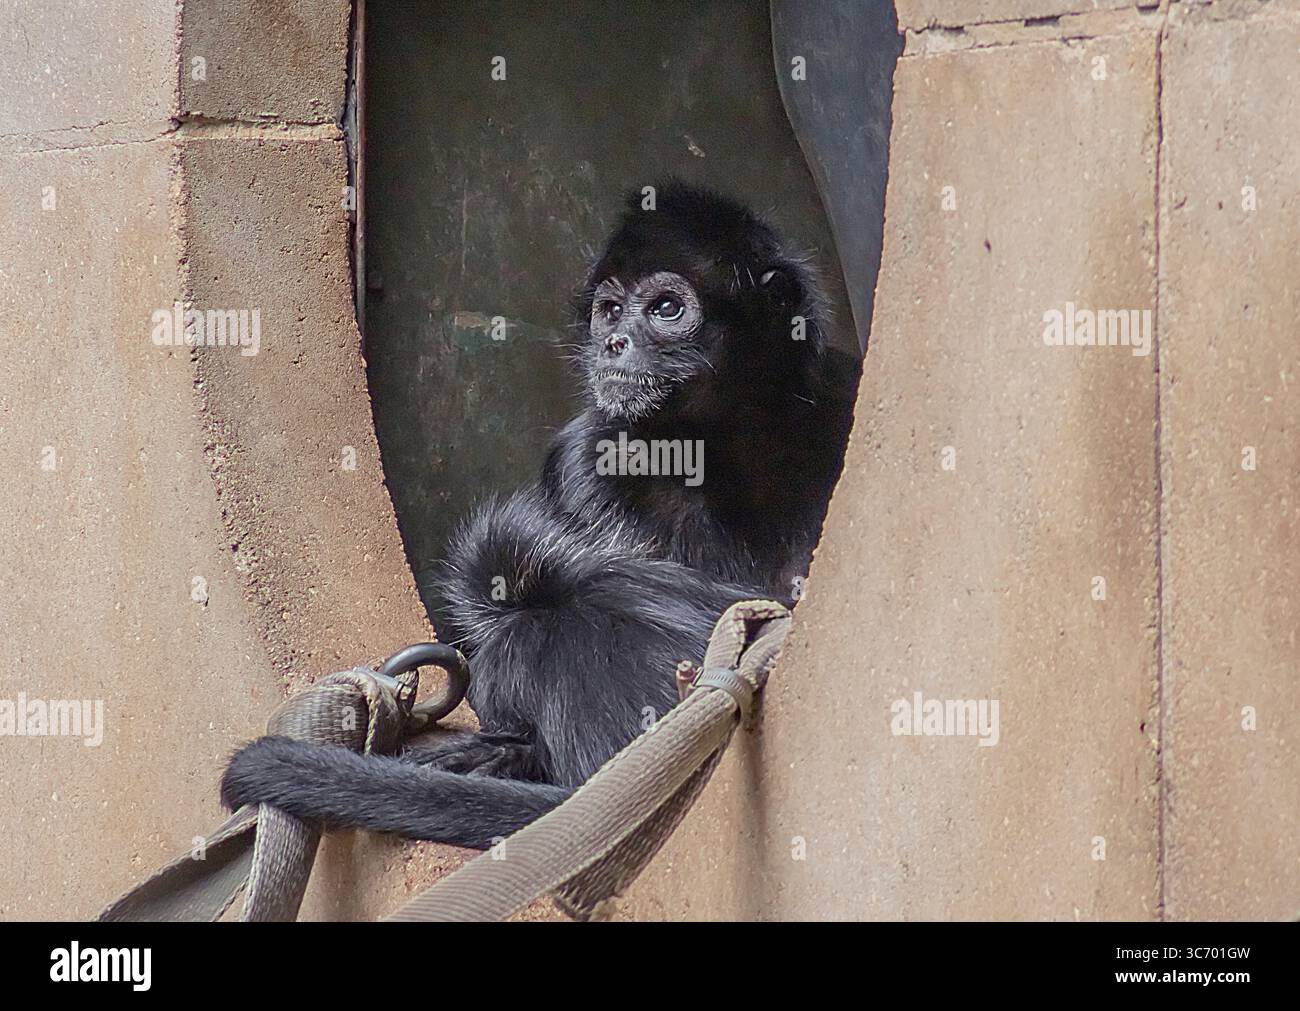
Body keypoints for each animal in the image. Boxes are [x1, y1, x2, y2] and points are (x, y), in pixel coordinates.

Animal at [220, 180, 860, 848]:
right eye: (610, 311)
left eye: (664, 308)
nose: (613, 343)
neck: (717, 453)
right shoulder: (586, 458)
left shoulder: (838, 394)